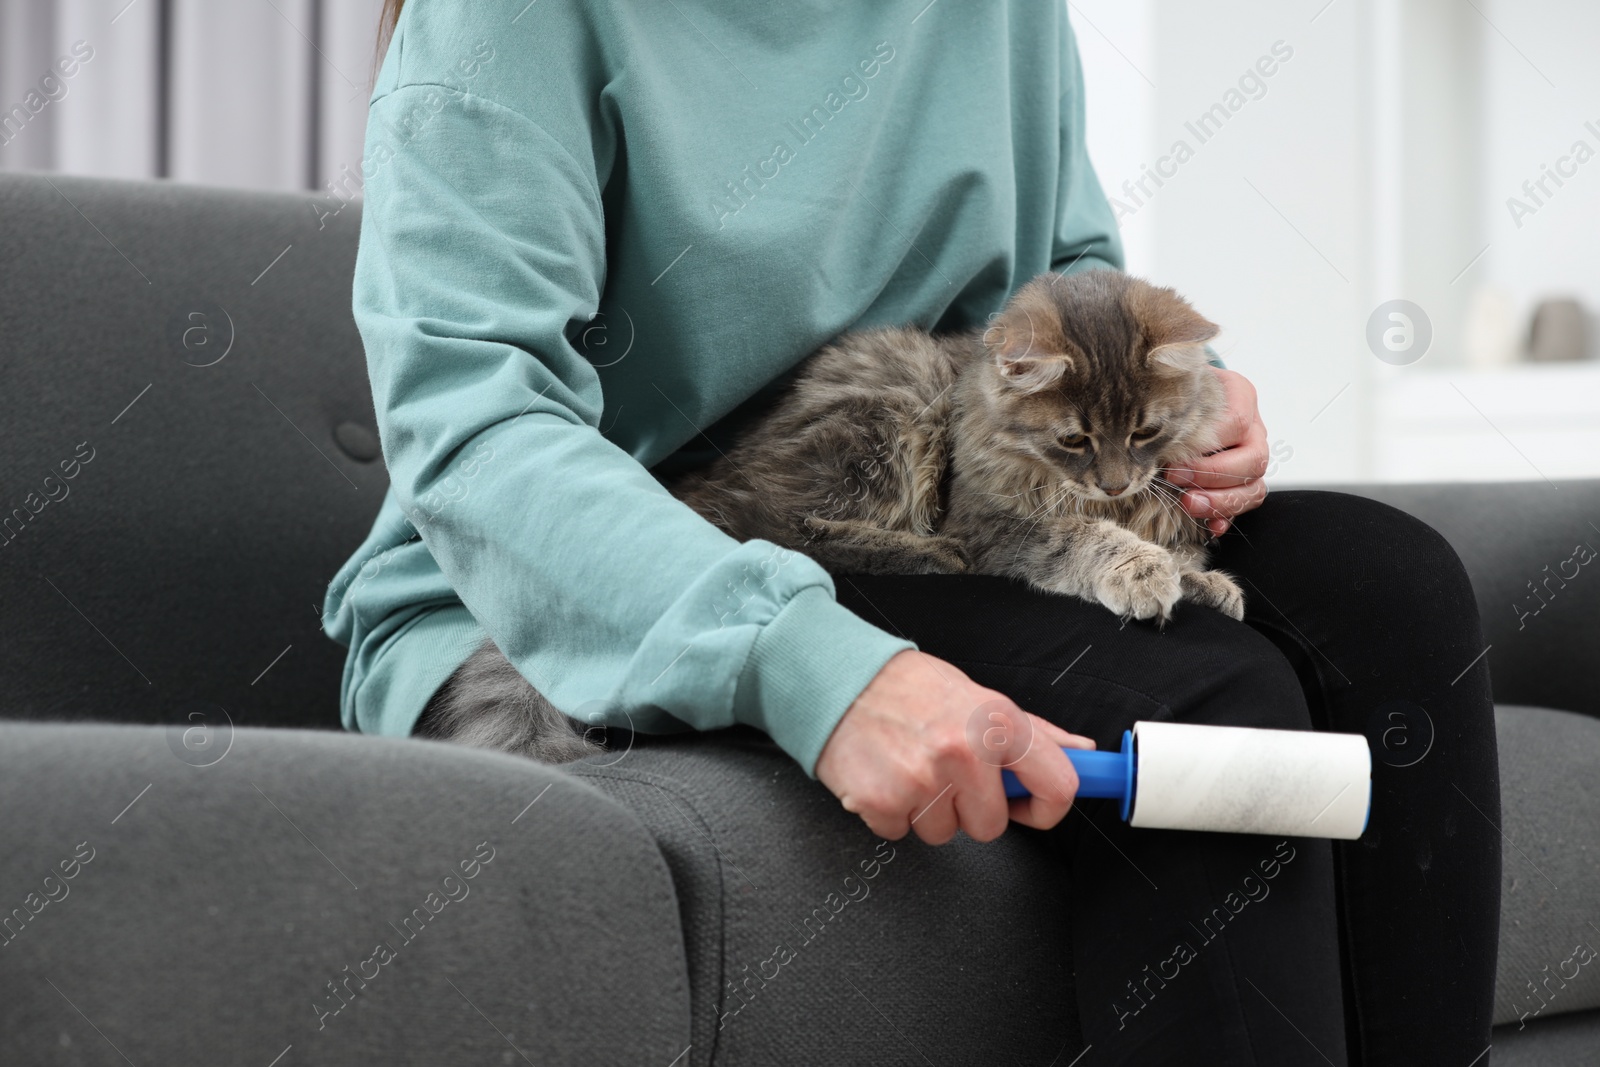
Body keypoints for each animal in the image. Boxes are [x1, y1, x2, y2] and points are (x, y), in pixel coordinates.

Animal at [412, 271, 1235, 764]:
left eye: (1145, 432)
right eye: (1074, 440)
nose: (1115, 480)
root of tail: (701, 483)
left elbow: (1179, 547)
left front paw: (1203, 581)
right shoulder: (993, 520)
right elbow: (1079, 539)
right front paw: (1138, 569)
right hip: (888, 416)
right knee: (790, 535)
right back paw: (921, 554)